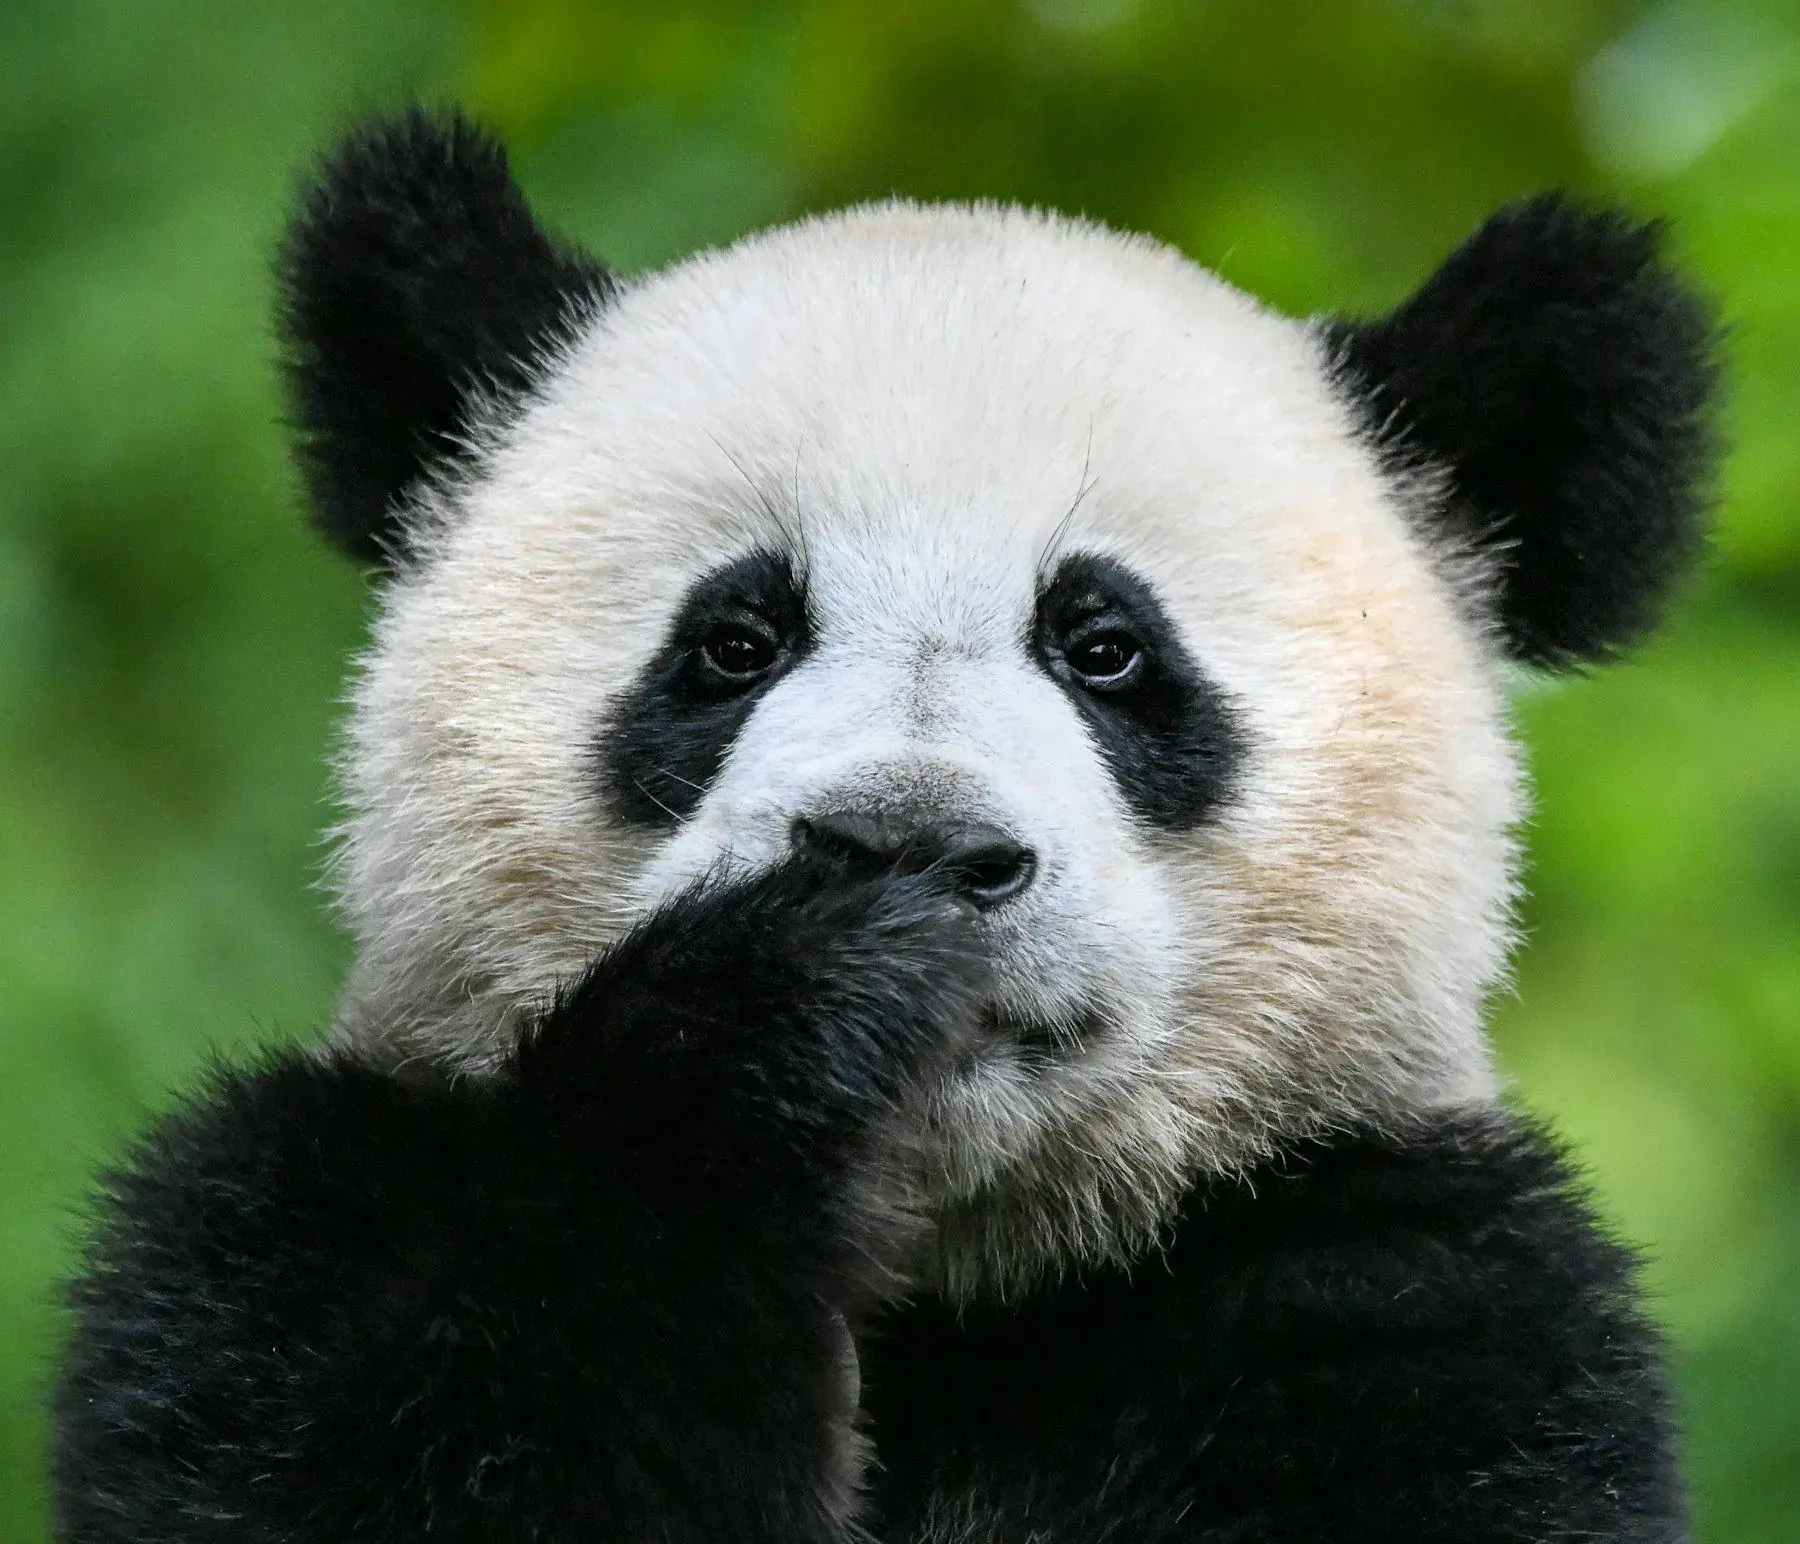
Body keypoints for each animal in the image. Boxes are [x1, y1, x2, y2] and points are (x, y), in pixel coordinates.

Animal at [53, 111, 1717, 1544]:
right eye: (735, 640)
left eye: (1105, 646)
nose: (908, 846)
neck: (939, 1274)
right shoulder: (311, 1220)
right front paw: (770, 1030)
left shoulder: (1411, 1303)